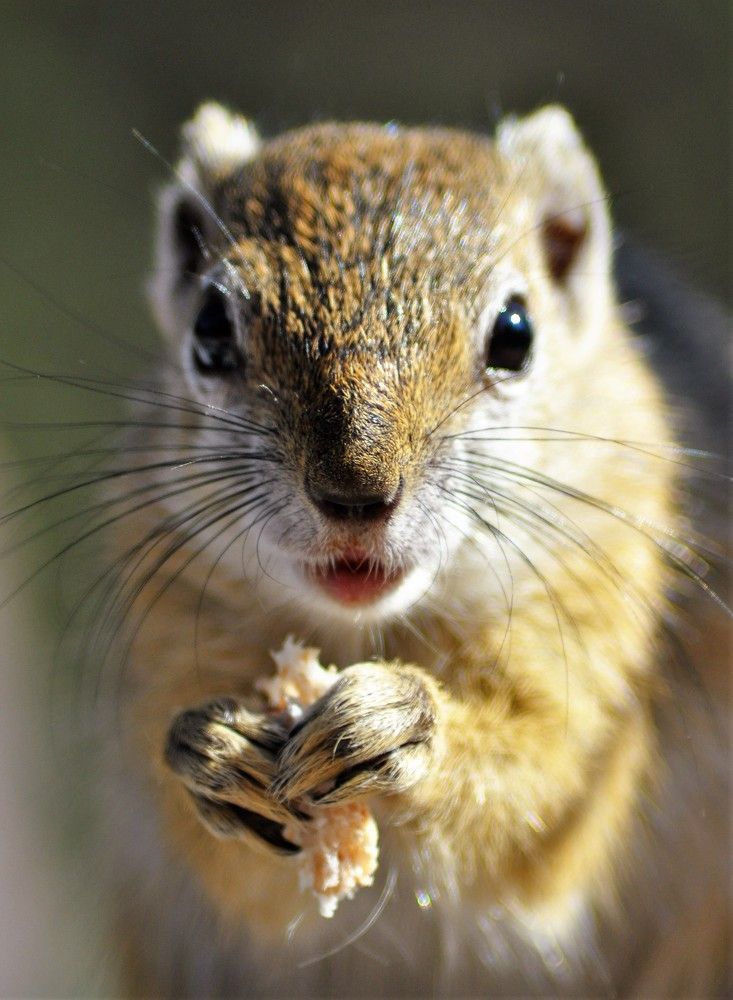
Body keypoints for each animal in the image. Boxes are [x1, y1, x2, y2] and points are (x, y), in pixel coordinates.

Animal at [101, 102, 730, 997]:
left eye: (515, 333)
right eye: (209, 330)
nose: (354, 494)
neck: (366, 630)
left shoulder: (602, 642)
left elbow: (539, 803)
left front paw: (405, 725)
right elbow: (243, 887)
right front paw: (209, 754)